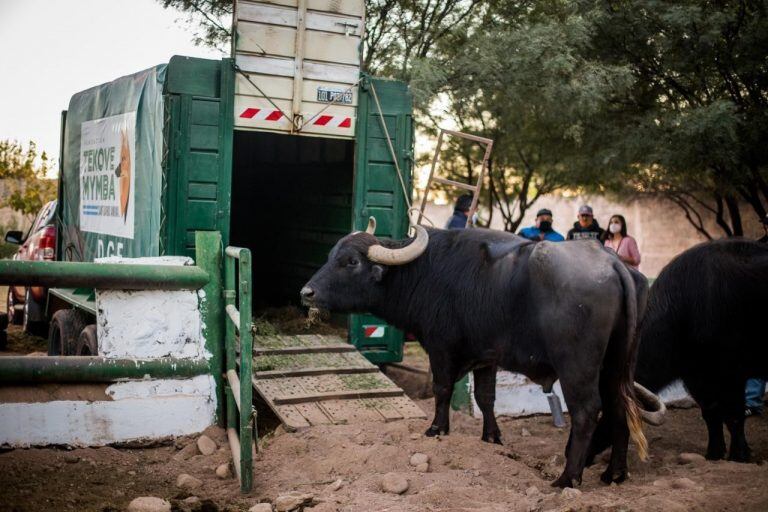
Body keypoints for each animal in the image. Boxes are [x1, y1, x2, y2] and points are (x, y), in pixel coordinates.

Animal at [298, 221, 660, 488]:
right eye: (332, 255)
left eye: (351, 262)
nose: (307, 292)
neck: (425, 271)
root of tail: (612, 263)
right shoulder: (487, 357)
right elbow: (486, 397)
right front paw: (491, 437)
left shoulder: (441, 347)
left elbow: (442, 389)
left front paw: (437, 429)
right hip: (618, 365)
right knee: (618, 406)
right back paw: (614, 473)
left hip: (577, 365)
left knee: (586, 411)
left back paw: (568, 478)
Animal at [636, 238, 768, 462]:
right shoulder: (696, 376)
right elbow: (711, 414)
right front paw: (714, 454)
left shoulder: (732, 374)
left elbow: (734, 415)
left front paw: (739, 455)